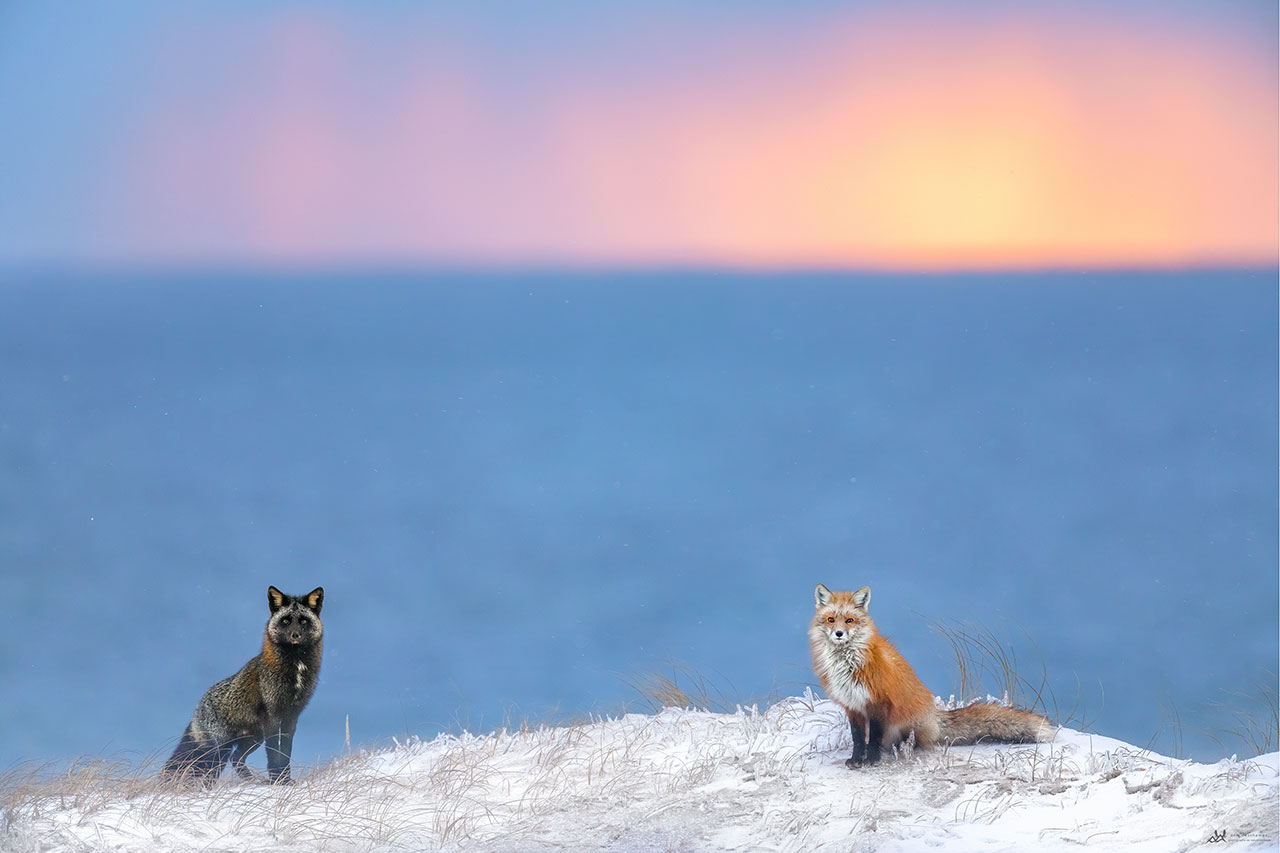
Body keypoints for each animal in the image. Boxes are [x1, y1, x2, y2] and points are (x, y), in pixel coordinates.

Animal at [808, 584, 1049, 763]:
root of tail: (933, 715)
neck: (848, 664)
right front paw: (856, 760)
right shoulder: (853, 706)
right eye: (831, 620)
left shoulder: (879, 702)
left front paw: (871, 760)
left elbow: (874, 738)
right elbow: (858, 739)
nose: (839, 633)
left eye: (849, 620)